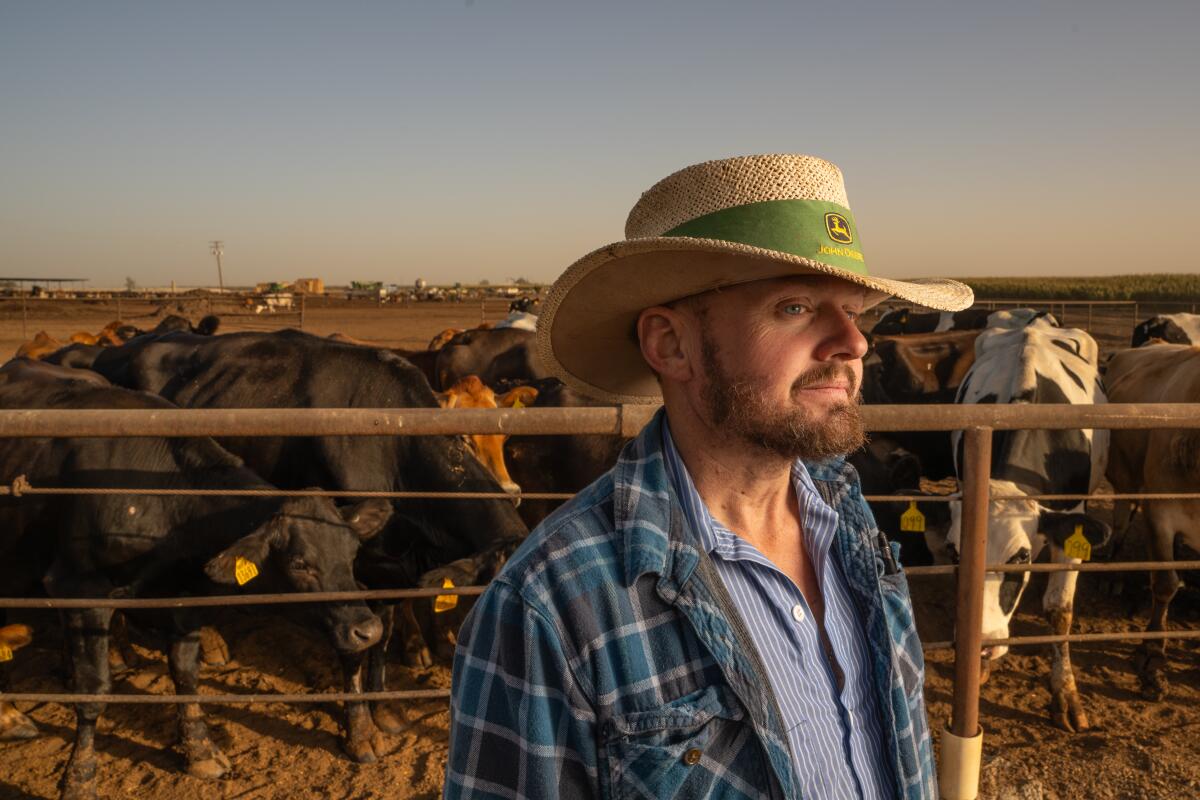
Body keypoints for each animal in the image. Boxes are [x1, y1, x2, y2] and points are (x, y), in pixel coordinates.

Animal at [0, 367, 391, 796]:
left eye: (352, 552)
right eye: (300, 563)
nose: (367, 629)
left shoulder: (183, 598)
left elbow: (185, 672)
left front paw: (200, 750)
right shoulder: (81, 590)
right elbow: (94, 690)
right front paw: (80, 778)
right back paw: (11, 717)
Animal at [75, 326, 525, 762]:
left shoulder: (389, 567)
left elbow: (381, 637)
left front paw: (384, 707)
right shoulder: (349, 569)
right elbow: (355, 648)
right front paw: (361, 732)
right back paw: (126, 650)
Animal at [945, 316, 1113, 734]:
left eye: (1020, 557)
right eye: (954, 553)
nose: (985, 643)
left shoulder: (1072, 522)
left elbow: (1058, 609)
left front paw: (1065, 693)